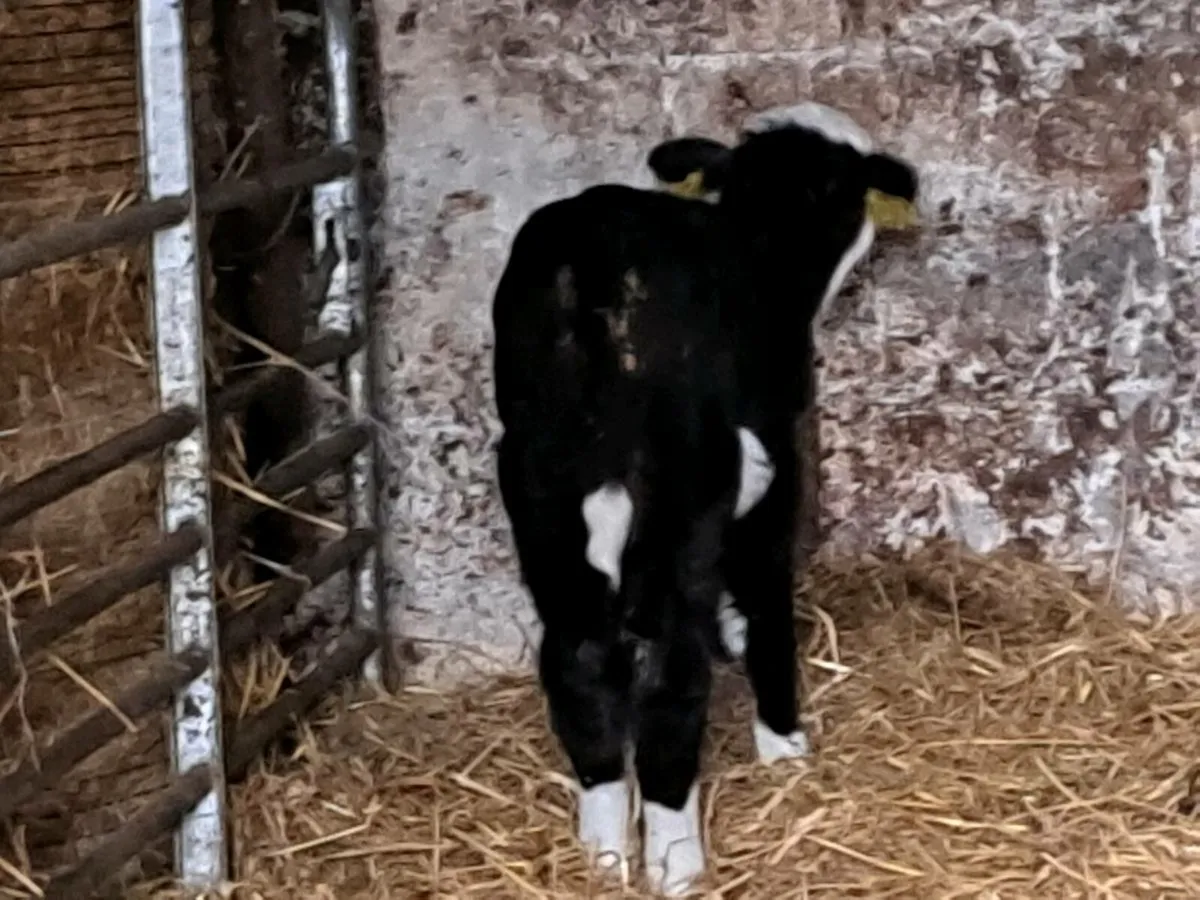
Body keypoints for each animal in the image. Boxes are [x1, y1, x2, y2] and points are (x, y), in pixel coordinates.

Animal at [490, 102, 919, 895]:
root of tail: (591, 263)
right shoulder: (775, 466)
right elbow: (767, 599)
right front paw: (785, 744)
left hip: (538, 489)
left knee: (577, 661)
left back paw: (603, 853)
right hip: (684, 489)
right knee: (669, 676)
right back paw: (676, 860)